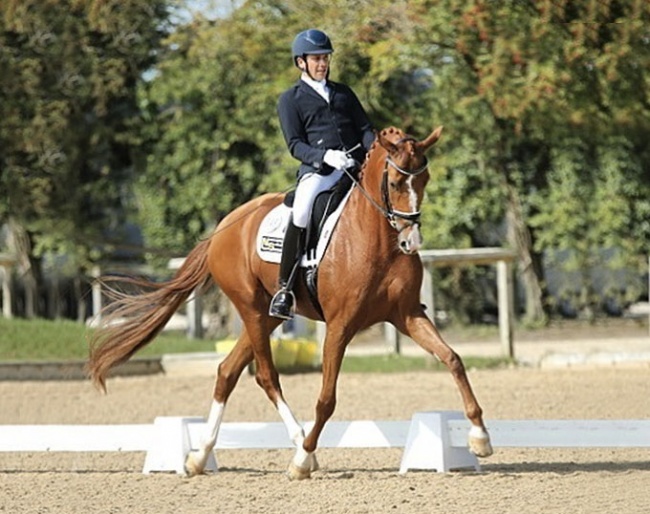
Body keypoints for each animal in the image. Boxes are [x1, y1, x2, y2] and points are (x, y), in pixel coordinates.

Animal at [87, 125, 493, 479]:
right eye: (394, 183)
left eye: (424, 181)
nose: (411, 242)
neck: (378, 241)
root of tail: (225, 226)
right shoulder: (341, 325)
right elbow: (326, 398)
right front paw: (301, 461)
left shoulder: (407, 315)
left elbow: (453, 359)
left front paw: (480, 437)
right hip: (251, 309)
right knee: (266, 376)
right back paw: (299, 447)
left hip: (270, 315)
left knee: (227, 371)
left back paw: (199, 457)